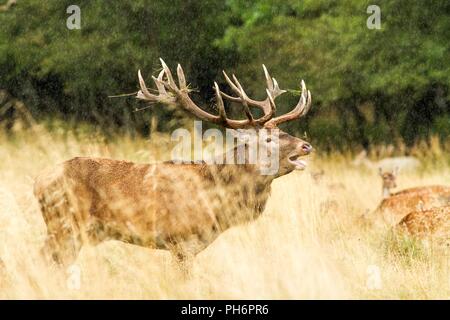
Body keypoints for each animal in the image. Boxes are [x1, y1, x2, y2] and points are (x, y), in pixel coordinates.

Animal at [34, 58, 312, 268]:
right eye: (268, 139)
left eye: (284, 132)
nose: (305, 146)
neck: (216, 200)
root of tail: (37, 182)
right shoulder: (181, 242)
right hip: (64, 225)